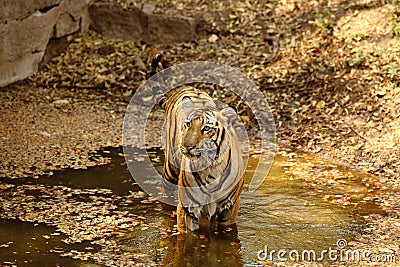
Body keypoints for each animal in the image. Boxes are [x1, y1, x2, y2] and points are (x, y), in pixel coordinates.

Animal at [159, 87, 245, 232]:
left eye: (206, 128)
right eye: (187, 124)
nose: (187, 146)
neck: (212, 168)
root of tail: (186, 88)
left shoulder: (230, 206)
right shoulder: (188, 208)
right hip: (170, 173)